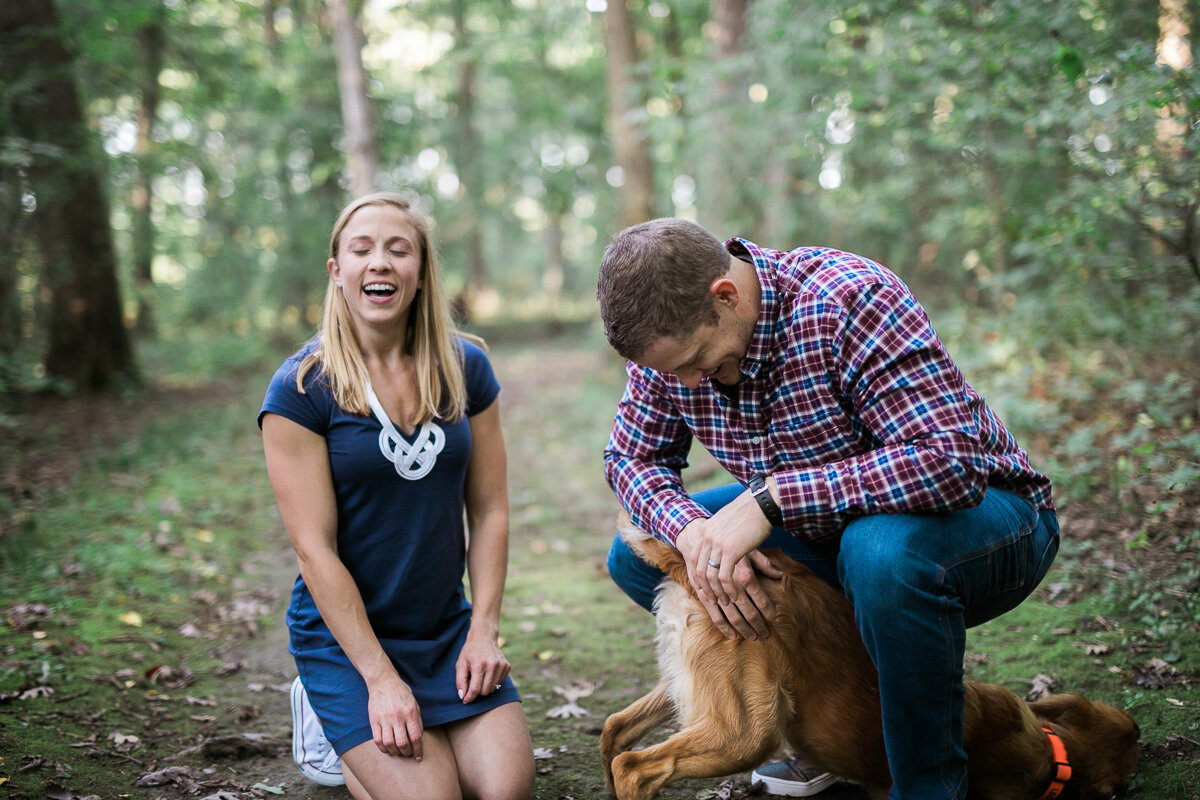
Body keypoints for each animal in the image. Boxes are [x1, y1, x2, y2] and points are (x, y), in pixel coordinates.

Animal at [604, 520, 1137, 800]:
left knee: (615, 731)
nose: (1137, 732)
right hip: (745, 733)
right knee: (634, 766)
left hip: (703, 690)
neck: (1053, 752)